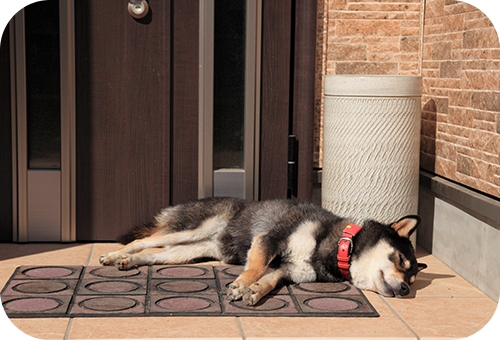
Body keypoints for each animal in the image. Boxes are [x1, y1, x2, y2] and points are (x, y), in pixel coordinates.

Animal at [100, 197, 426, 306]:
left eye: (411, 281)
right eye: (399, 260)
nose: (405, 291)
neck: (335, 247)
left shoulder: (286, 270)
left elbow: (269, 280)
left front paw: (254, 292)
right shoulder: (268, 239)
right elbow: (255, 267)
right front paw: (241, 285)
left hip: (187, 251)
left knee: (153, 253)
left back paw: (128, 261)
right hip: (190, 228)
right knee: (143, 241)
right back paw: (116, 255)